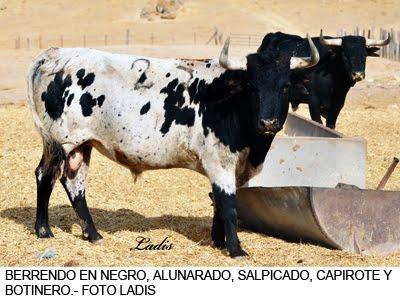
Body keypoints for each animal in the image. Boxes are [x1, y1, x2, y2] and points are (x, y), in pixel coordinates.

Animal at [26, 36, 318, 258]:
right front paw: (235, 250)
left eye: (285, 87)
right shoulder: (219, 162)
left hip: (81, 145)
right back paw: (43, 230)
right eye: (252, 87)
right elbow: (228, 205)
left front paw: (218, 242)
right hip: (60, 142)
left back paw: (93, 234)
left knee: (74, 184)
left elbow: (217, 204)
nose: (268, 122)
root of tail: (53, 55)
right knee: (45, 176)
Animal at [256, 30, 390, 129]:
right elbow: (318, 123)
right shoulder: (313, 103)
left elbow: (330, 125)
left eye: (364, 55)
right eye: (344, 54)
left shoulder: (337, 106)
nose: (358, 74)